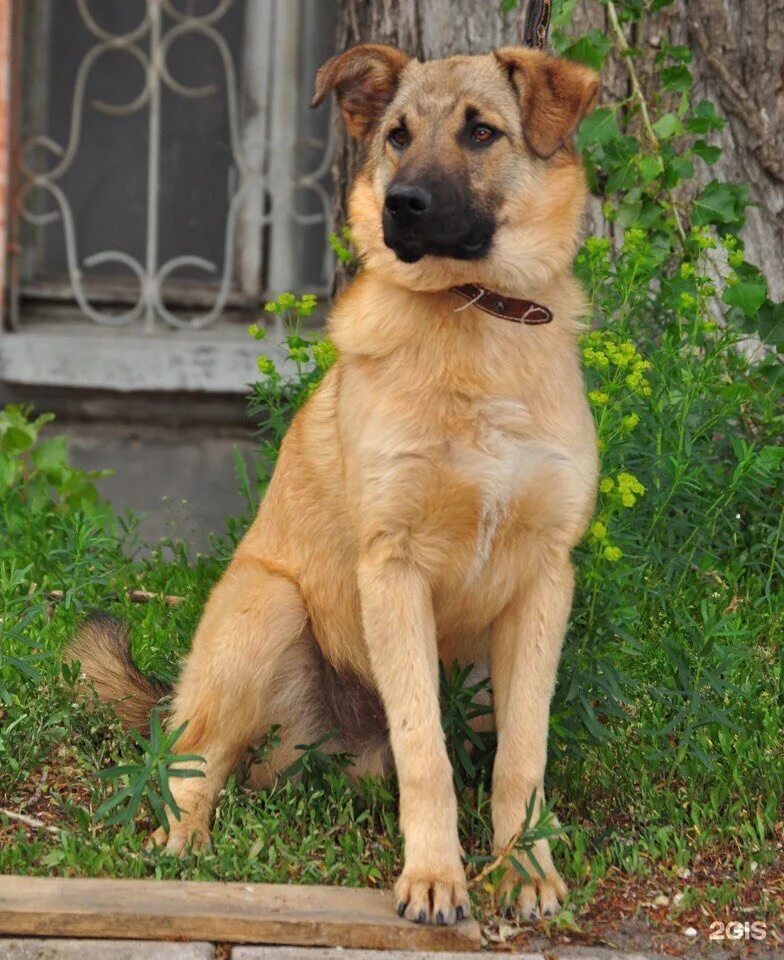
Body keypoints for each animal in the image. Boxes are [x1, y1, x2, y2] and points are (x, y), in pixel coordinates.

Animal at [70, 43, 600, 924]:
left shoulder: (543, 583)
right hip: (266, 606)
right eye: (397, 136)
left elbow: (521, 756)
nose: (401, 204)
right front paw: (435, 877)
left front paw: (524, 869)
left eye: (482, 132)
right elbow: (426, 751)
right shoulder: (394, 567)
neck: (475, 316)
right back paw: (183, 844)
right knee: (192, 758)